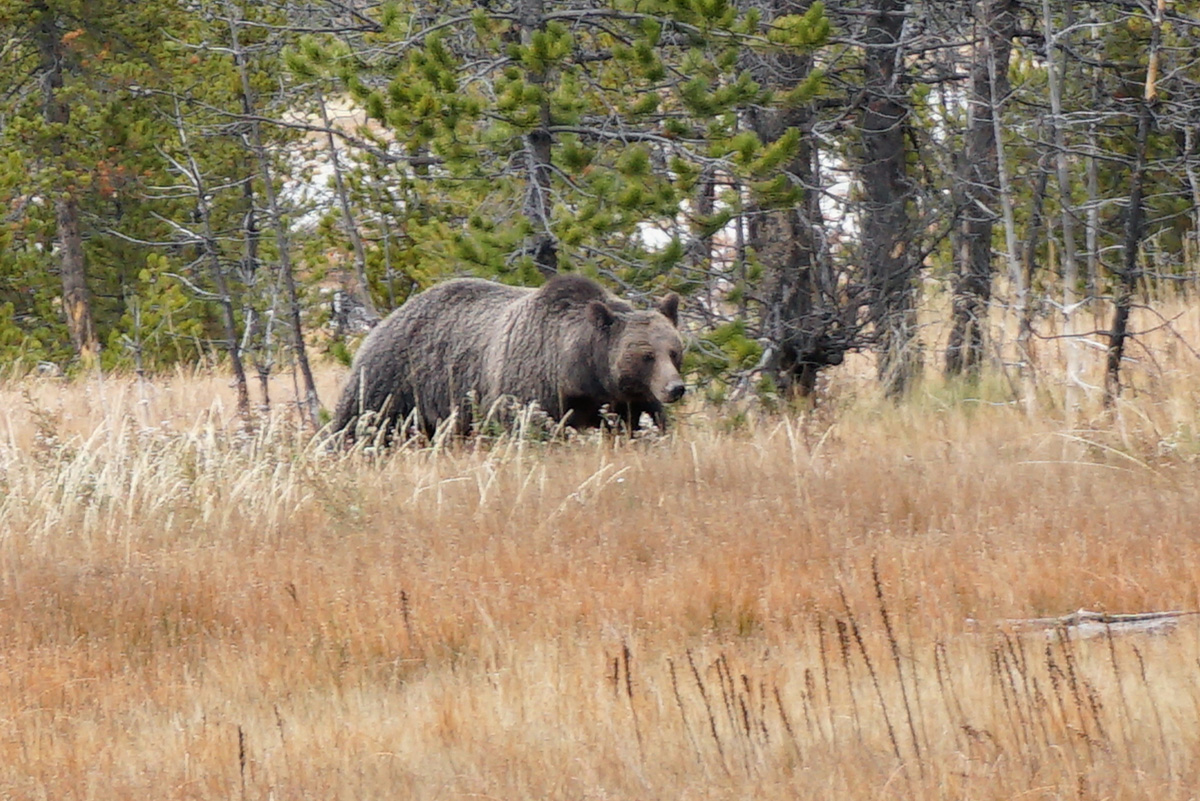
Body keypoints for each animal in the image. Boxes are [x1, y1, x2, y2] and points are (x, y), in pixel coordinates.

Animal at [330, 274, 686, 441]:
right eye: (646, 355)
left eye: (674, 351)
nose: (675, 388)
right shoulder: (528, 382)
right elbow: (527, 426)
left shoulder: (624, 401)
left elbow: (637, 425)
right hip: (395, 383)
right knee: (362, 424)